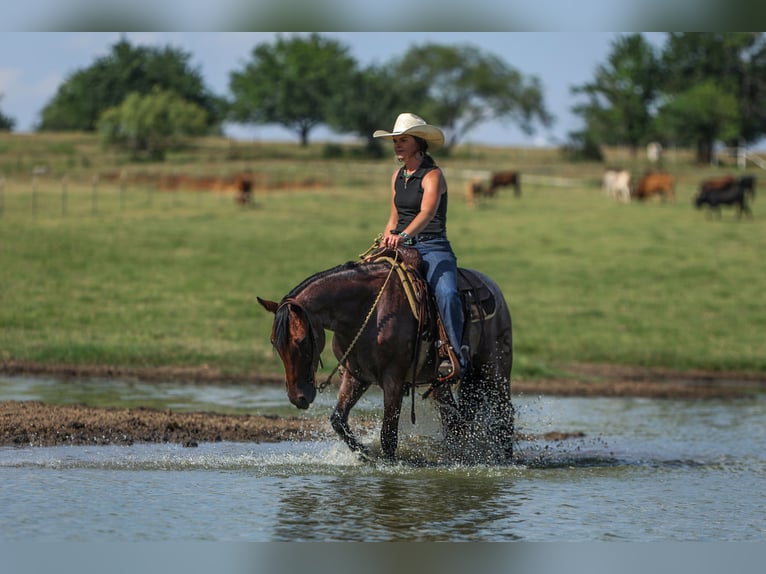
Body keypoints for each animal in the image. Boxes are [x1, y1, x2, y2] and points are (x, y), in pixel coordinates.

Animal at [258, 250, 516, 466]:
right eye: (274, 343)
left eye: (301, 340)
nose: (298, 398)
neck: (368, 311)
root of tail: (492, 287)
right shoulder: (356, 377)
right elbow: (338, 420)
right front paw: (364, 453)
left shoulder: (394, 381)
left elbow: (388, 435)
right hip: (440, 385)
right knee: (455, 423)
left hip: (494, 370)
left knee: (505, 415)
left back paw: (506, 459)